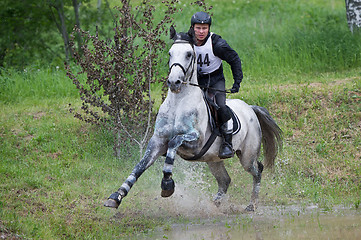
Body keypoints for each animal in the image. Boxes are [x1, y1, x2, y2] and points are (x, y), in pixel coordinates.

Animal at [102, 26, 282, 212]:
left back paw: (251, 205)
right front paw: (116, 197)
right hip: (213, 159)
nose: (174, 82)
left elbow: (174, 142)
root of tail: (250, 108)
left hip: (247, 156)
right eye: (170, 53)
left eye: (189, 54)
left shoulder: (195, 141)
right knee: (225, 180)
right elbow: (139, 167)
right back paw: (216, 204)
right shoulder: (158, 140)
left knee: (257, 170)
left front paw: (167, 184)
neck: (178, 102)